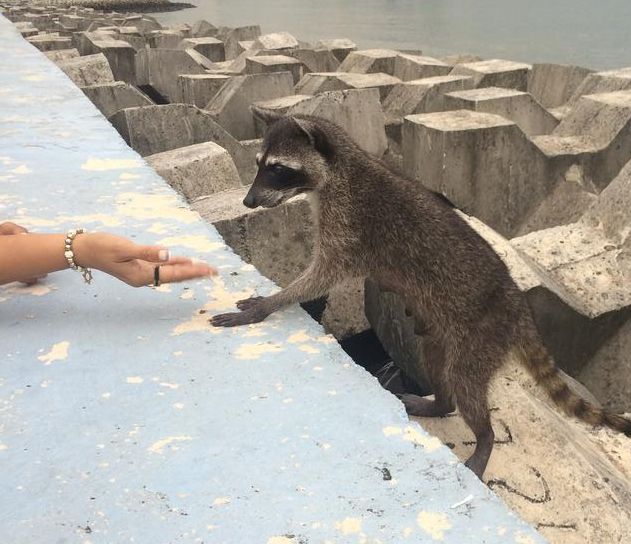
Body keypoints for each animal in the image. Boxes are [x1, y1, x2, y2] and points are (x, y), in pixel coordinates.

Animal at [212, 107, 631, 480]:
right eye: (258, 163)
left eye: (277, 168)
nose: (248, 201)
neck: (337, 172)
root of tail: (518, 307)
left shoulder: (350, 225)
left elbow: (322, 276)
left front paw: (269, 303)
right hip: (441, 331)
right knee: (438, 365)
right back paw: (440, 404)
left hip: (482, 335)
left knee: (464, 382)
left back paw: (484, 438)